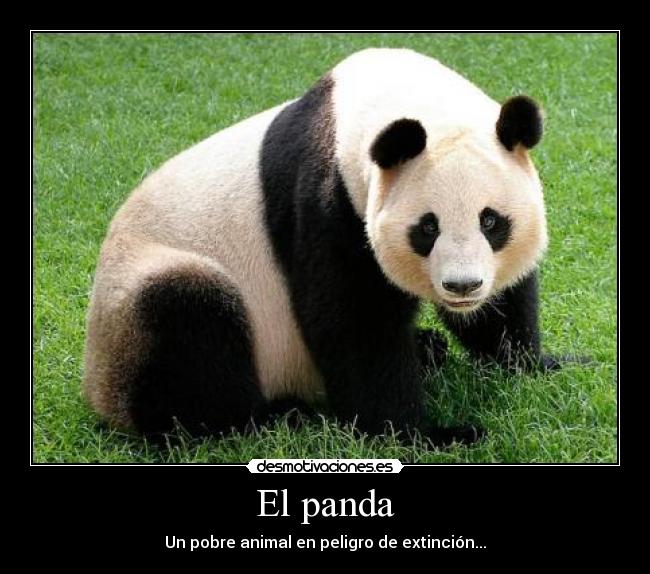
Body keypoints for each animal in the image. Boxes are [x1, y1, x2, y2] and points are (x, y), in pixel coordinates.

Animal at [83, 47, 556, 446]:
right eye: (427, 228)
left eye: (490, 221)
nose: (463, 286)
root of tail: (97, 393)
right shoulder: (328, 201)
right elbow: (352, 320)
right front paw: (428, 434)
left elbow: (503, 308)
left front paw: (534, 364)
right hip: (144, 297)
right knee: (188, 324)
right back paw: (273, 417)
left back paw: (428, 349)